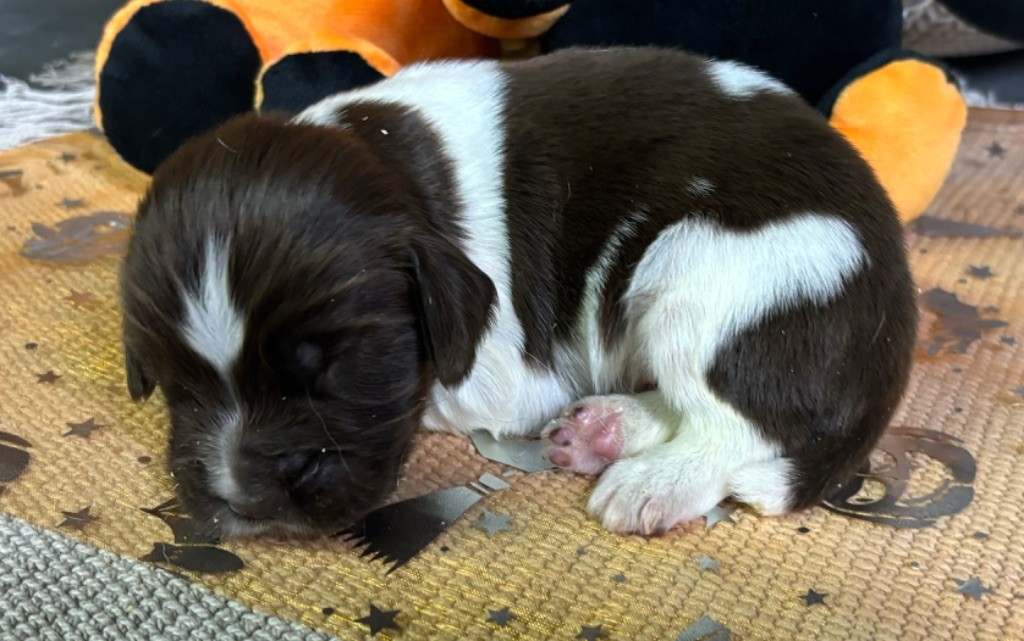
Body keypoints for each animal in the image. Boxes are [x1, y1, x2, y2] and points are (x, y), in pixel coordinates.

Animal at [121, 46, 921, 532]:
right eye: (176, 382)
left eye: (339, 370)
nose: (247, 499)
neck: (392, 160)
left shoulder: (502, 375)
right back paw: (607, 428)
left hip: (696, 273)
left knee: (742, 425)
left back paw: (649, 481)